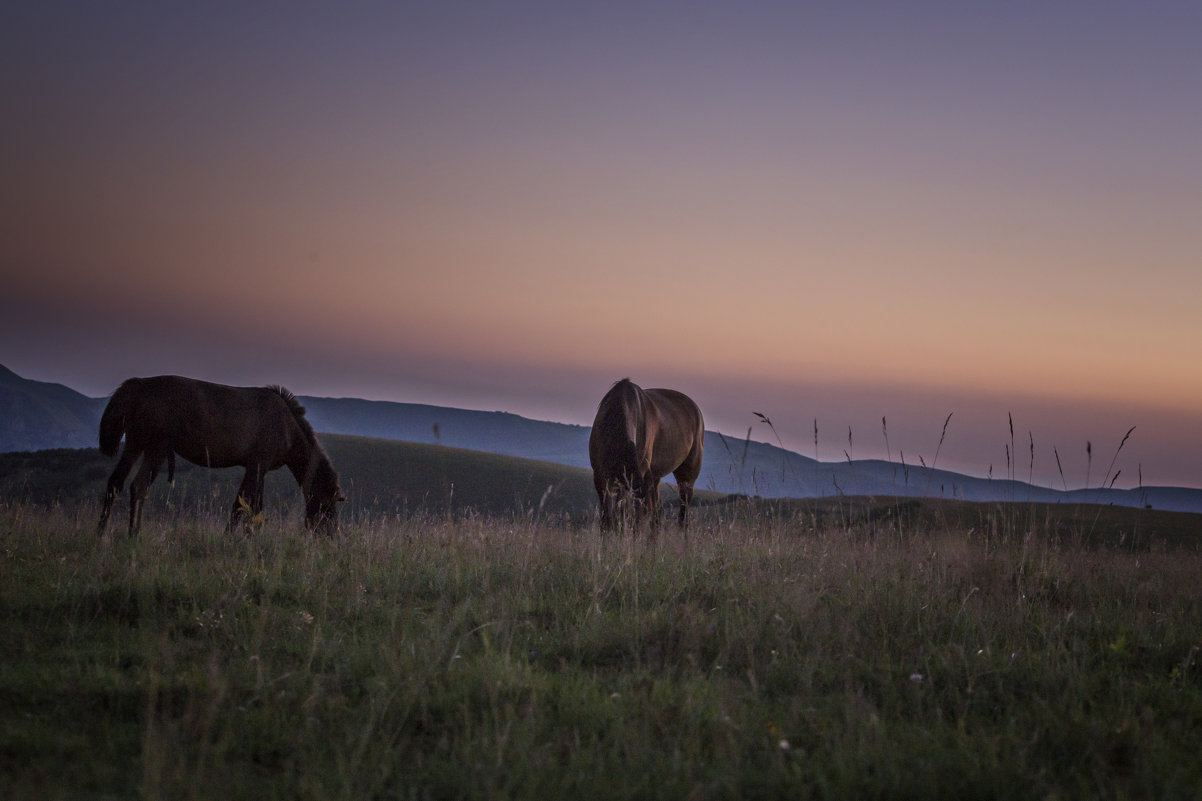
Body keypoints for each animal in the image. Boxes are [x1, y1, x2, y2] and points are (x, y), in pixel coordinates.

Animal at [95, 375, 343, 536]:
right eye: (327, 504)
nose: (330, 535)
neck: (288, 425)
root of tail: (138, 385)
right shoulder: (258, 465)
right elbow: (245, 505)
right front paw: (235, 537)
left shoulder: (255, 467)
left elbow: (249, 505)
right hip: (155, 449)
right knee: (137, 486)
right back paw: (128, 533)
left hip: (137, 446)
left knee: (120, 484)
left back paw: (110, 534)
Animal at [584, 375, 701, 529]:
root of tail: (695, 409)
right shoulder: (600, 478)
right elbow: (608, 517)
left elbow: (619, 514)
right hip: (654, 479)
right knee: (658, 512)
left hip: (687, 477)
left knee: (683, 512)